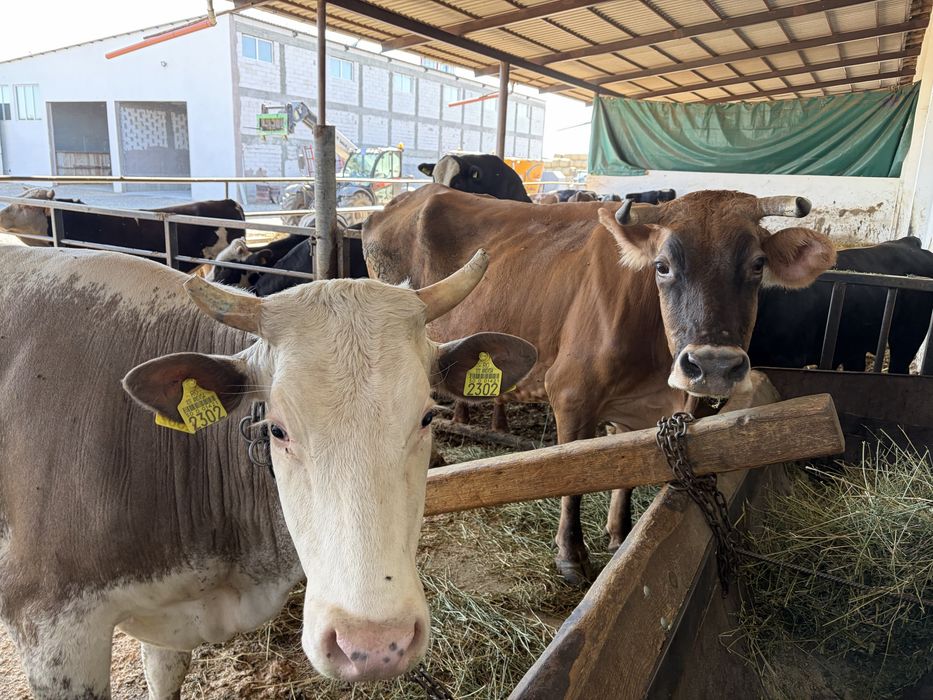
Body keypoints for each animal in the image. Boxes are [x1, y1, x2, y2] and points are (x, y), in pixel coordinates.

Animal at [363, 185, 836, 584]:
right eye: (662, 266)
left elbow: (628, 469)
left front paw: (620, 535)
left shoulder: (645, 412)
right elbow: (572, 478)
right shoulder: (571, 394)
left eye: (757, 265)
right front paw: (571, 557)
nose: (712, 365)